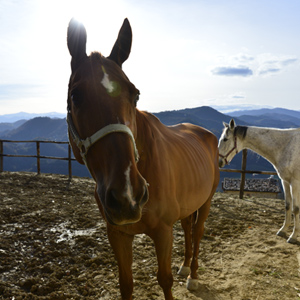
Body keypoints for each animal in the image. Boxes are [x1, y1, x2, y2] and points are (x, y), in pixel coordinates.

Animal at [67, 17, 219, 298]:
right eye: (76, 95)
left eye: (135, 93)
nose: (127, 195)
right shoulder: (117, 234)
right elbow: (126, 284)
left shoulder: (162, 232)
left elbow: (165, 280)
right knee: (187, 228)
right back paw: (185, 266)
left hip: (206, 202)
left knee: (198, 231)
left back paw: (192, 275)